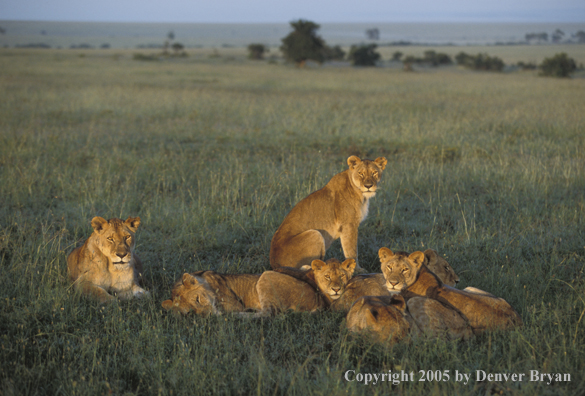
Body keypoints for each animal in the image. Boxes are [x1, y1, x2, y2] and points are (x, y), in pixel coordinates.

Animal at [378, 248, 524, 334]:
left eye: (405, 269)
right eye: (389, 267)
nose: (393, 283)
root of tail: (518, 322)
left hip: (416, 302)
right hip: (470, 288)